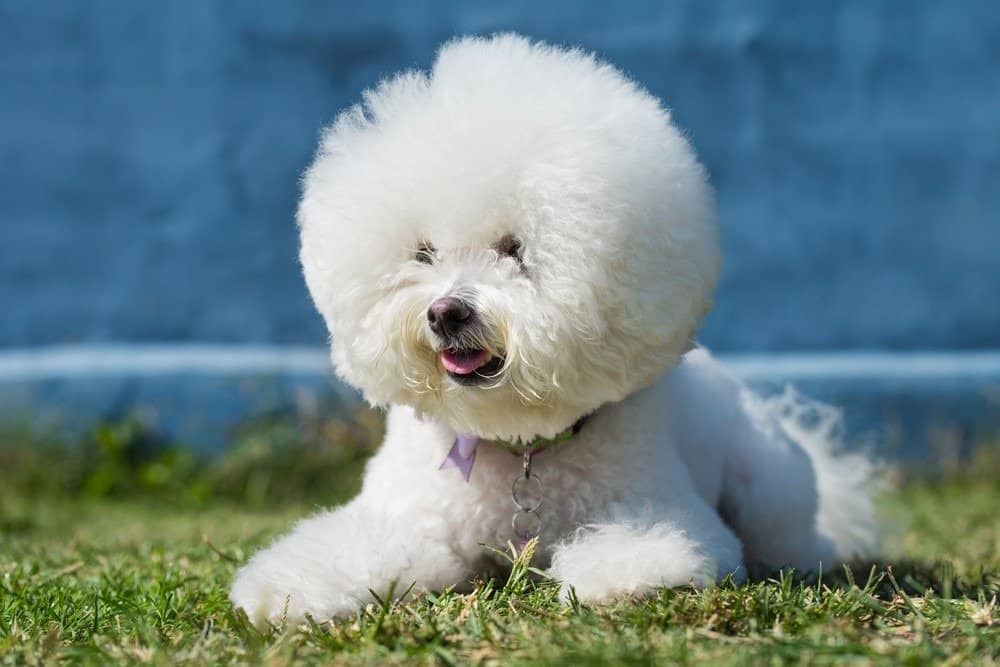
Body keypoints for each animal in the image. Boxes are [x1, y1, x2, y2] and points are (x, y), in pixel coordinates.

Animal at [230, 34, 880, 628]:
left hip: (770, 486)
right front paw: (289, 591)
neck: (516, 445)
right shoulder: (412, 519)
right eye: (424, 253)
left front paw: (632, 579)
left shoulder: (651, 500)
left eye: (516, 250)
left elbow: (652, 538)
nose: (445, 313)